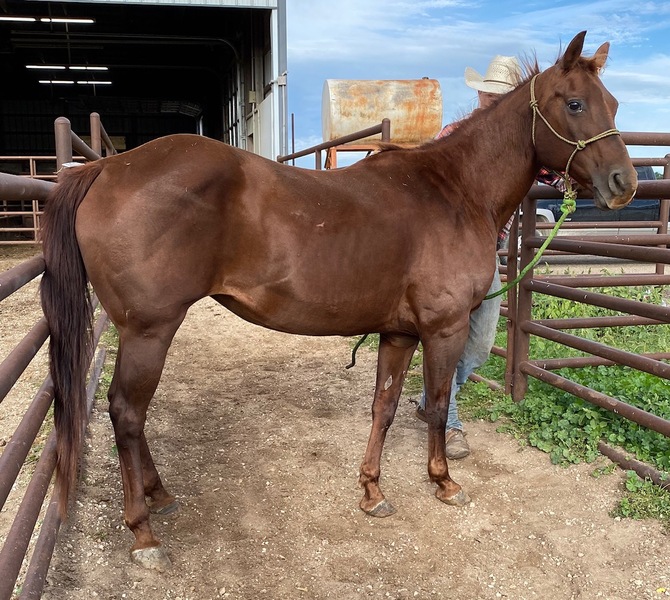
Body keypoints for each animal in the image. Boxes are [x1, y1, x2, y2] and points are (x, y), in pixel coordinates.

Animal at [40, 31, 637, 571]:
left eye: (613, 104)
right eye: (575, 103)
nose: (623, 183)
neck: (454, 191)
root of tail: (107, 167)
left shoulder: (399, 333)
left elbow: (385, 407)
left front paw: (372, 492)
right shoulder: (443, 329)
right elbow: (437, 403)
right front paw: (443, 481)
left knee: (131, 414)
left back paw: (160, 496)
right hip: (149, 329)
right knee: (126, 412)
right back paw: (143, 533)